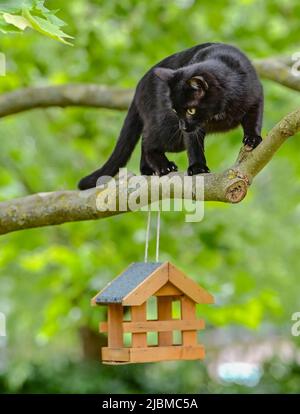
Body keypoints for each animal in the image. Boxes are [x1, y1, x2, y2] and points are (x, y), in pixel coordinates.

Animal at [78, 41, 262, 190]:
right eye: (175, 110)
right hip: (169, 131)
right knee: (148, 139)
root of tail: (140, 84)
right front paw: (197, 168)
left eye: (190, 110)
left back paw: (148, 170)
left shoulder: (256, 97)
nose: (183, 126)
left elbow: (254, 121)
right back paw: (163, 167)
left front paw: (253, 139)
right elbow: (194, 146)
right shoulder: (191, 131)